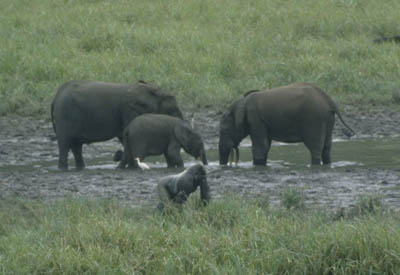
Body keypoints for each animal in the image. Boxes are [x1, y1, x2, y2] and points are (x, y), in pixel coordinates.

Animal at [50, 80, 184, 170]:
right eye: (173, 111)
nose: (115, 156)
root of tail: (56, 96)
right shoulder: (129, 111)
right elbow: (125, 136)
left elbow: (124, 137)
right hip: (64, 115)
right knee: (65, 144)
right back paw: (63, 169)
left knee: (76, 146)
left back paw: (81, 168)